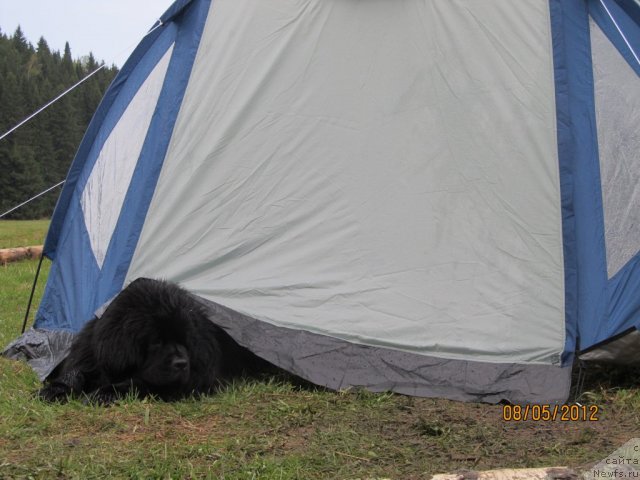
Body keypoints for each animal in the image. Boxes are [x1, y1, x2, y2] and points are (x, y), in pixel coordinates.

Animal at [38, 278, 264, 404]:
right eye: (156, 342)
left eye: (185, 341)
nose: (182, 364)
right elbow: (77, 372)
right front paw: (54, 390)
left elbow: (138, 382)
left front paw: (105, 393)